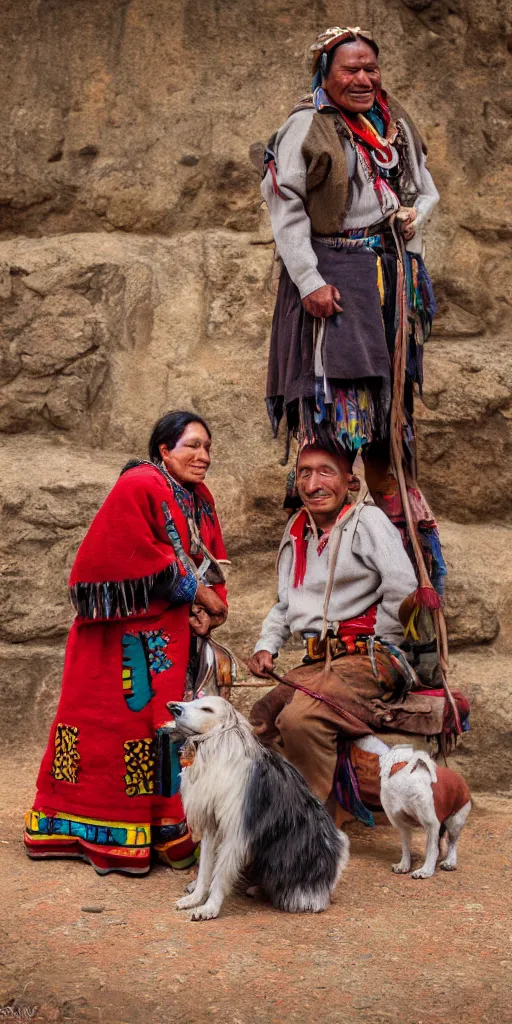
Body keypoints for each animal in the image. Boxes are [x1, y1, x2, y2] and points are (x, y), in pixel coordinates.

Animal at [166, 696, 348, 921]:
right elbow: (205, 869)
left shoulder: (236, 832)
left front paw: (209, 908)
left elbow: (221, 874)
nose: (173, 708)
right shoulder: (211, 825)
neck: (217, 746)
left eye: (207, 709)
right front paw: (196, 898)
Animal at [356, 737, 471, 880]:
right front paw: (404, 866)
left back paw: (450, 862)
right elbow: (406, 848)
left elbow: (432, 849)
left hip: (455, 822)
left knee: (452, 844)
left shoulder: (431, 824)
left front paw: (426, 871)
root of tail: (459, 777)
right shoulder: (403, 825)